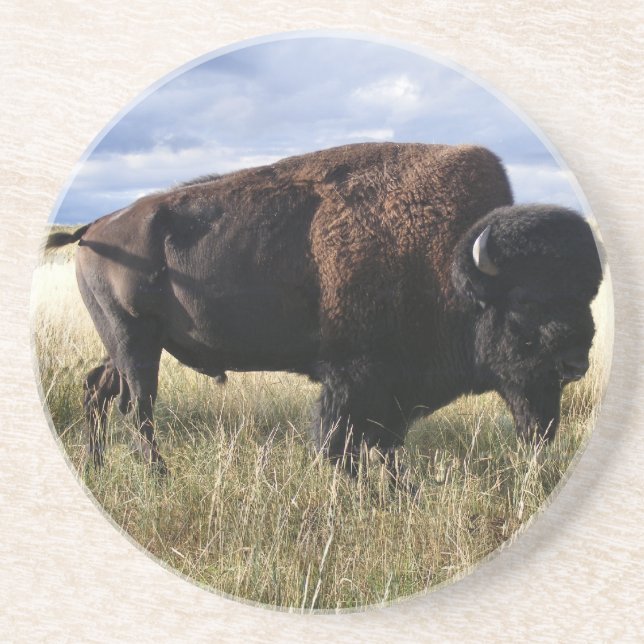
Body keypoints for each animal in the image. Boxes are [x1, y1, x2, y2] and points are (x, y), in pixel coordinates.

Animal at [45, 142, 603, 475]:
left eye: (587, 295)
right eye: (526, 300)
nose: (576, 362)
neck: (450, 262)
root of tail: (95, 228)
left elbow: (377, 442)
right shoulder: (354, 378)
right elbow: (338, 440)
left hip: (132, 344)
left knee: (97, 388)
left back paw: (96, 464)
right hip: (135, 342)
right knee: (138, 407)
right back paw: (159, 475)